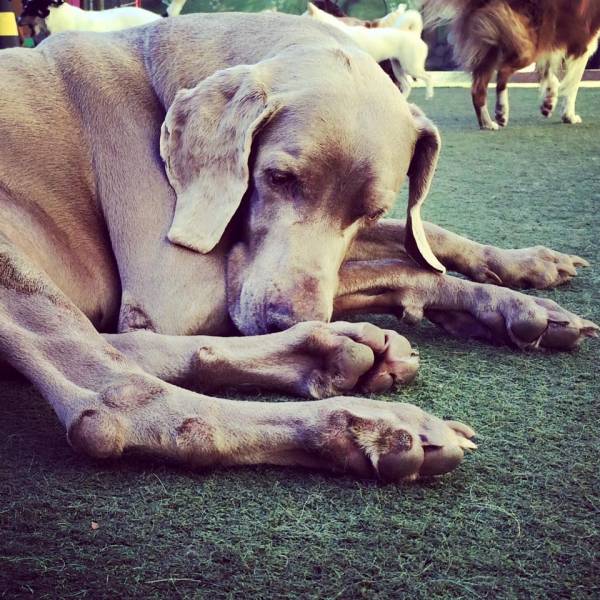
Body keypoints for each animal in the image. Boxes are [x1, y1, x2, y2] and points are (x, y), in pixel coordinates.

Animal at [0, 12, 596, 482]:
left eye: (371, 210)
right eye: (278, 178)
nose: (285, 318)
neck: (160, 77)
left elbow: (417, 245)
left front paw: (522, 283)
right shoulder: (182, 294)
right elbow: (405, 268)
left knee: (129, 351)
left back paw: (336, 352)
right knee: (116, 403)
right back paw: (367, 427)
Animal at [422, 0, 600, 129]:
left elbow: (549, 74)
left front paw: (548, 103)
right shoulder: (583, 42)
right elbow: (572, 85)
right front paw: (569, 115)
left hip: (492, 39)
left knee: (478, 88)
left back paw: (487, 123)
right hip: (528, 39)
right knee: (503, 71)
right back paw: (501, 112)